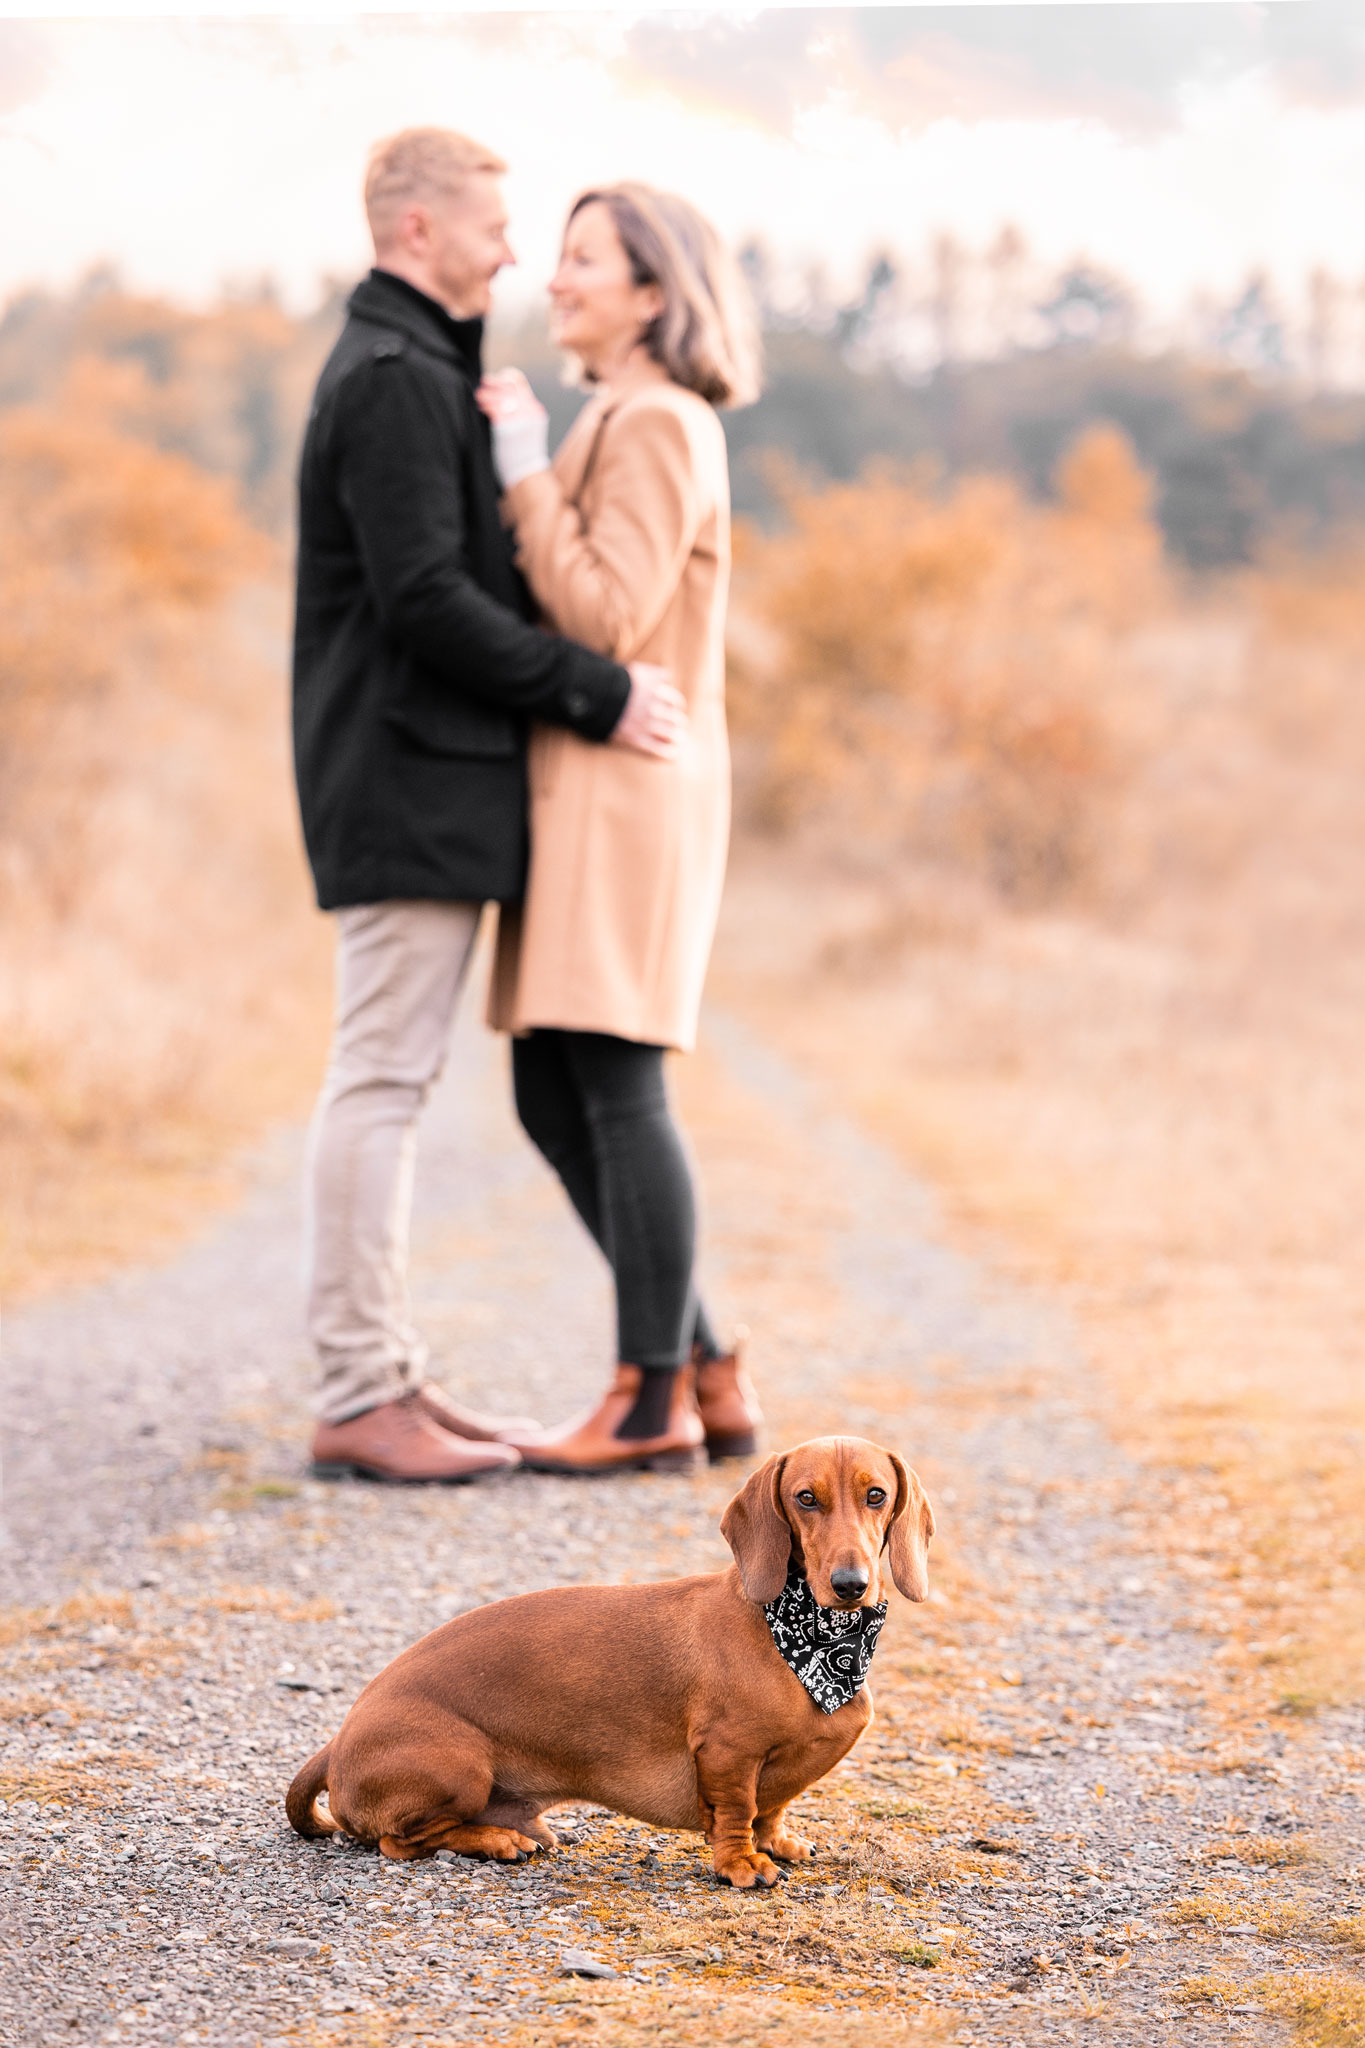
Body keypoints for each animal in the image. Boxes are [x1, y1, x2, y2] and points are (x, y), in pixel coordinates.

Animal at [282, 1441, 933, 1884]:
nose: (851, 1586)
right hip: (459, 1765)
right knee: (398, 1842)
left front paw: (776, 1843)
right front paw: (741, 1864)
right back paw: (496, 1841)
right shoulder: (728, 1754)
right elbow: (738, 1810)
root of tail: (336, 1743)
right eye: (805, 1498)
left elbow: (772, 1807)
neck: (810, 1643)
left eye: (876, 1495)